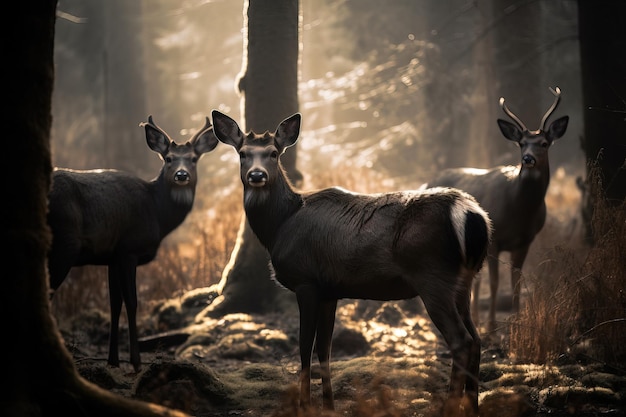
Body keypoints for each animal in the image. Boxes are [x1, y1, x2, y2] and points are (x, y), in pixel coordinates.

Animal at [47, 116, 217, 370]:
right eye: (168, 158)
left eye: (194, 159)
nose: (181, 175)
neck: (157, 213)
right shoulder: (129, 249)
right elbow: (132, 302)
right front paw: (135, 362)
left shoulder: (112, 256)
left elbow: (114, 304)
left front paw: (113, 360)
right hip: (64, 244)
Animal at [213, 109, 492, 414]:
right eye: (242, 153)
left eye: (273, 153)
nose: (256, 175)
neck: (280, 225)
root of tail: (470, 213)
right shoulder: (329, 290)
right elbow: (324, 348)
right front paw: (329, 405)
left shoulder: (306, 280)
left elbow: (304, 346)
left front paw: (304, 405)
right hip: (464, 280)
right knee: (477, 338)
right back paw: (474, 406)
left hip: (433, 276)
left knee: (461, 340)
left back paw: (449, 407)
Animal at [422, 87, 568, 332]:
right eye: (521, 143)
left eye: (544, 143)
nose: (528, 159)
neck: (519, 211)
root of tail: (426, 183)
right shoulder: (495, 240)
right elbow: (495, 283)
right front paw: (491, 326)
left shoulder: (525, 241)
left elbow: (516, 282)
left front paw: (516, 321)